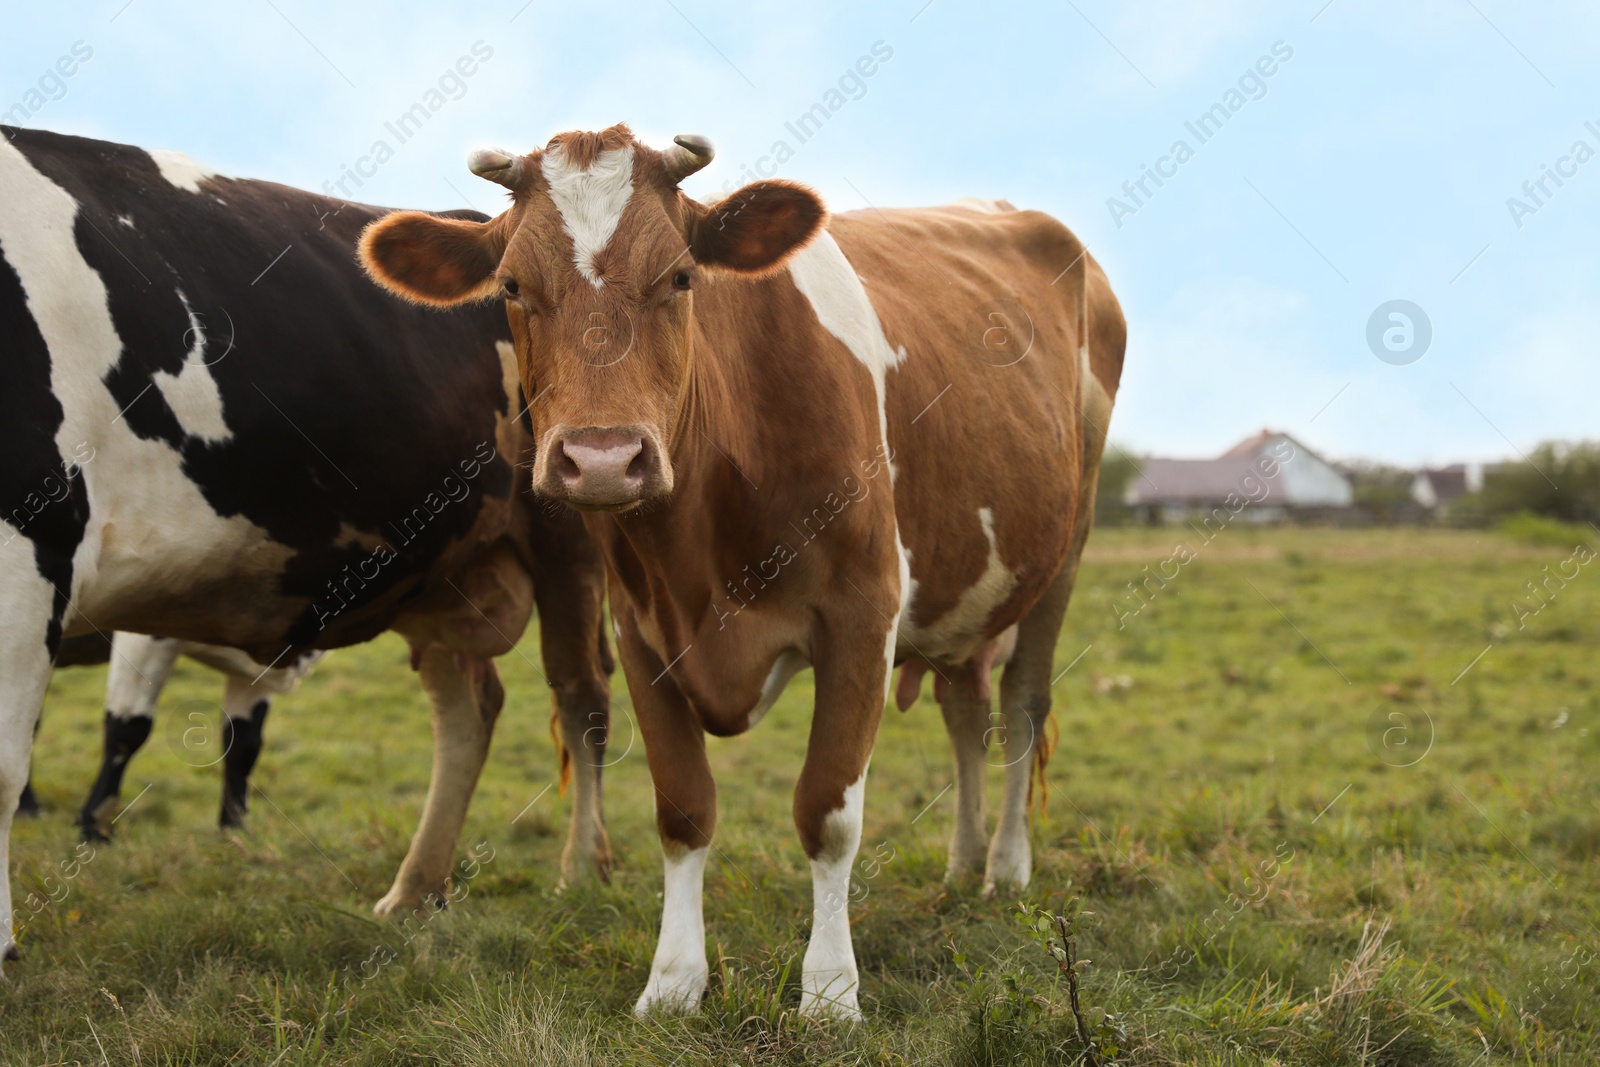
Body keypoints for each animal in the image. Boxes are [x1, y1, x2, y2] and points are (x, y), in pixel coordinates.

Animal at [0, 125, 614, 966]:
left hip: (570, 545)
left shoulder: (36, 548)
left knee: (582, 697)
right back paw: (416, 889)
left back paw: (580, 871)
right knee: (470, 705)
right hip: (445, 570)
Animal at [360, 123, 1126, 1017]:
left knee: (1022, 704)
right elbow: (683, 809)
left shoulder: (863, 612)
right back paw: (964, 863)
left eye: (681, 275)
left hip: (1065, 545)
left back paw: (1006, 867)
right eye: (512, 284)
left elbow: (827, 808)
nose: (603, 458)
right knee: (965, 708)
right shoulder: (643, 631)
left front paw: (829, 992)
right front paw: (672, 982)